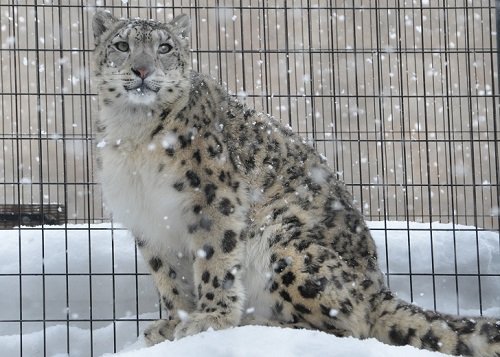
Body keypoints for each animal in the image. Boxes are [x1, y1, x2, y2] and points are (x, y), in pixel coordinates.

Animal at [92, 9, 498, 354]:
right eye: (122, 45)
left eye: (165, 47)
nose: (142, 70)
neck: (135, 136)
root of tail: (377, 288)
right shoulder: (148, 219)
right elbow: (169, 276)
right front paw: (172, 324)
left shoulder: (212, 197)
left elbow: (215, 260)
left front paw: (209, 320)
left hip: (286, 244)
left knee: (348, 325)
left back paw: (264, 326)